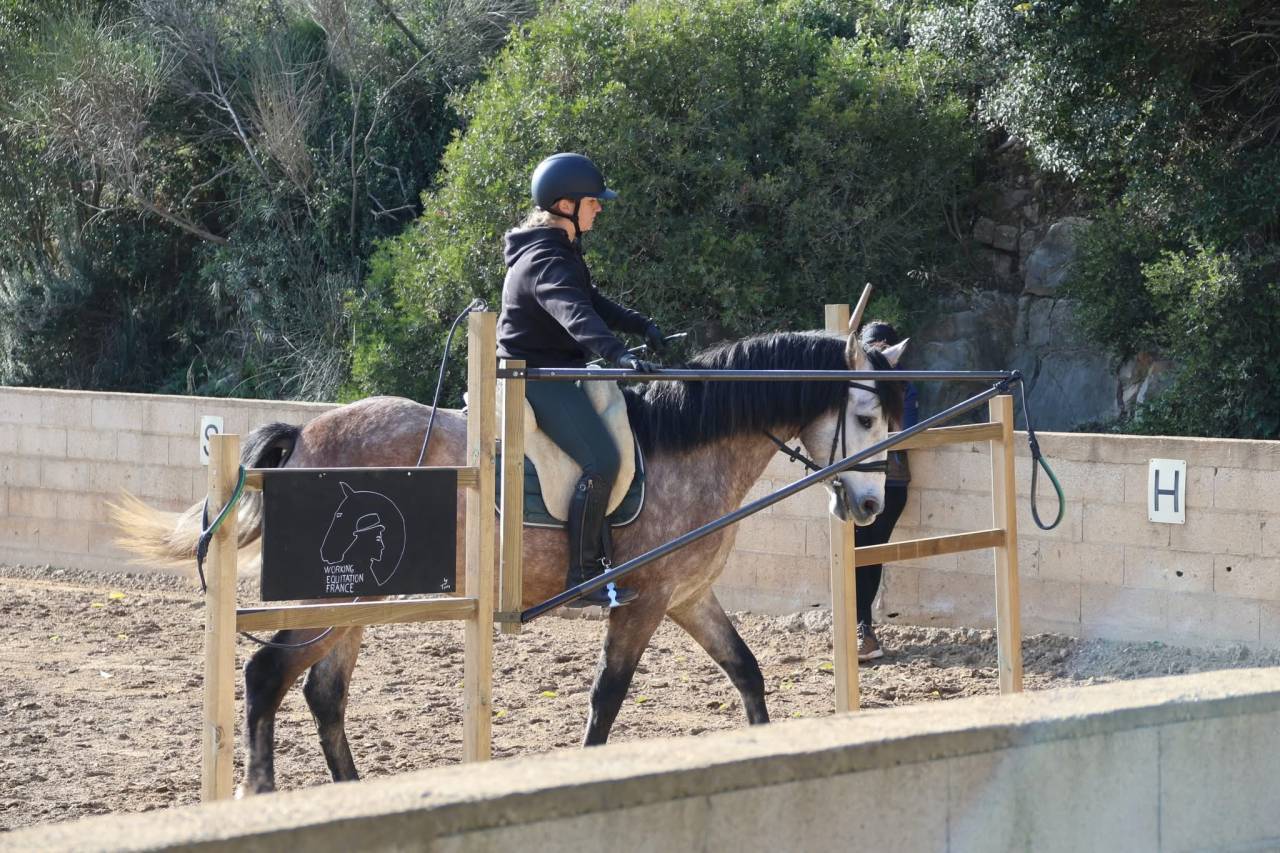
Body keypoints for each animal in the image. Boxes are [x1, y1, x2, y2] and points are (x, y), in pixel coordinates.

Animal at [113, 326, 905, 794]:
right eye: (866, 417)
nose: (871, 505)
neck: (687, 446)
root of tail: (305, 437)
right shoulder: (643, 603)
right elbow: (607, 699)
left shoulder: (685, 598)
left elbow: (747, 672)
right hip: (327, 602)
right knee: (266, 675)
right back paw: (264, 793)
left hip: (357, 605)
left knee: (321, 693)